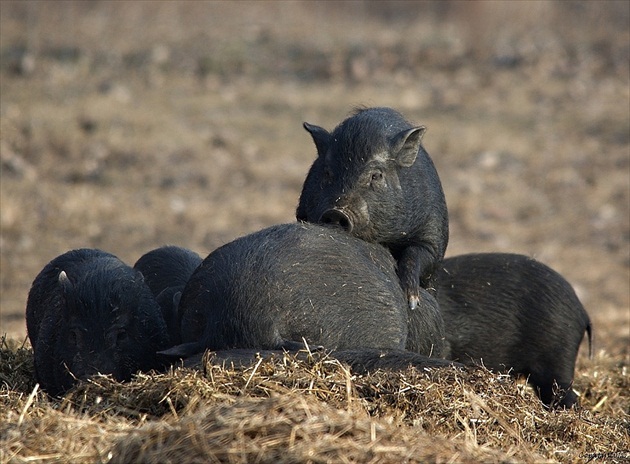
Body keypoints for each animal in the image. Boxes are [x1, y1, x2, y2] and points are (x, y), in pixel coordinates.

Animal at [296, 107, 450, 310]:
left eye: (376, 175)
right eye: (327, 173)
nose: (336, 212)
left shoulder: (433, 233)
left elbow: (417, 254)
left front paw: (412, 301)